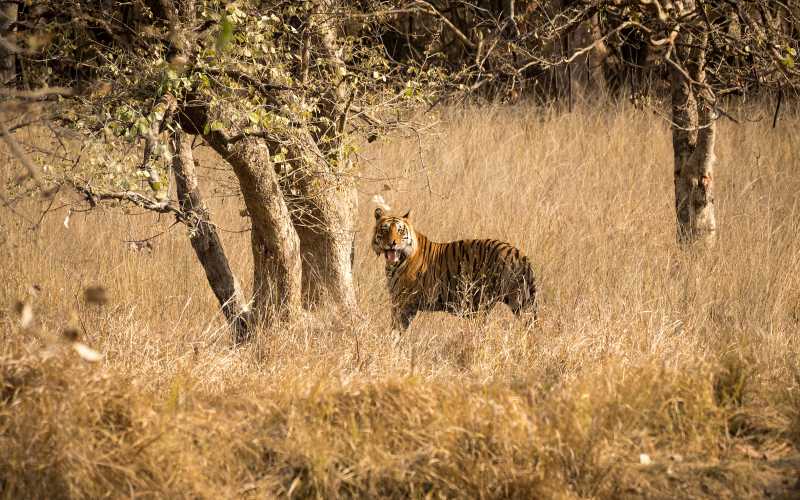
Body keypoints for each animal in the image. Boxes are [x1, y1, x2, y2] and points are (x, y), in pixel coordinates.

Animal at [372, 207, 538, 331]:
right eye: (385, 230)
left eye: (400, 231)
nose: (392, 243)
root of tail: (520, 255)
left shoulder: (403, 301)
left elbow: (397, 328)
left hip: (513, 301)